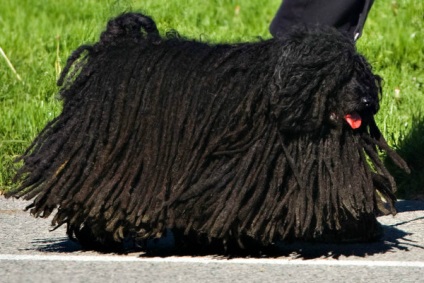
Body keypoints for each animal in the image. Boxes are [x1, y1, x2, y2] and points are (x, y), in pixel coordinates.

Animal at [6, 12, 410, 255]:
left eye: (361, 73)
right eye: (339, 75)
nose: (366, 100)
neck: (273, 91)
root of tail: (113, 46)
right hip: (100, 154)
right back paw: (101, 234)